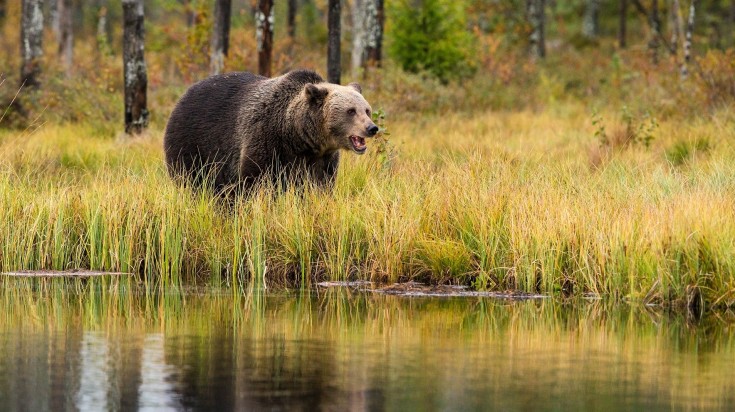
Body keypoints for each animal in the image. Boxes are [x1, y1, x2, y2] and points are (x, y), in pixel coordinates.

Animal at [163, 70, 376, 194]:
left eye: (366, 110)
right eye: (351, 111)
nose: (372, 128)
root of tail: (184, 94)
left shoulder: (322, 159)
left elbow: (321, 185)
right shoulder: (266, 139)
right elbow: (254, 180)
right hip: (193, 143)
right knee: (191, 179)